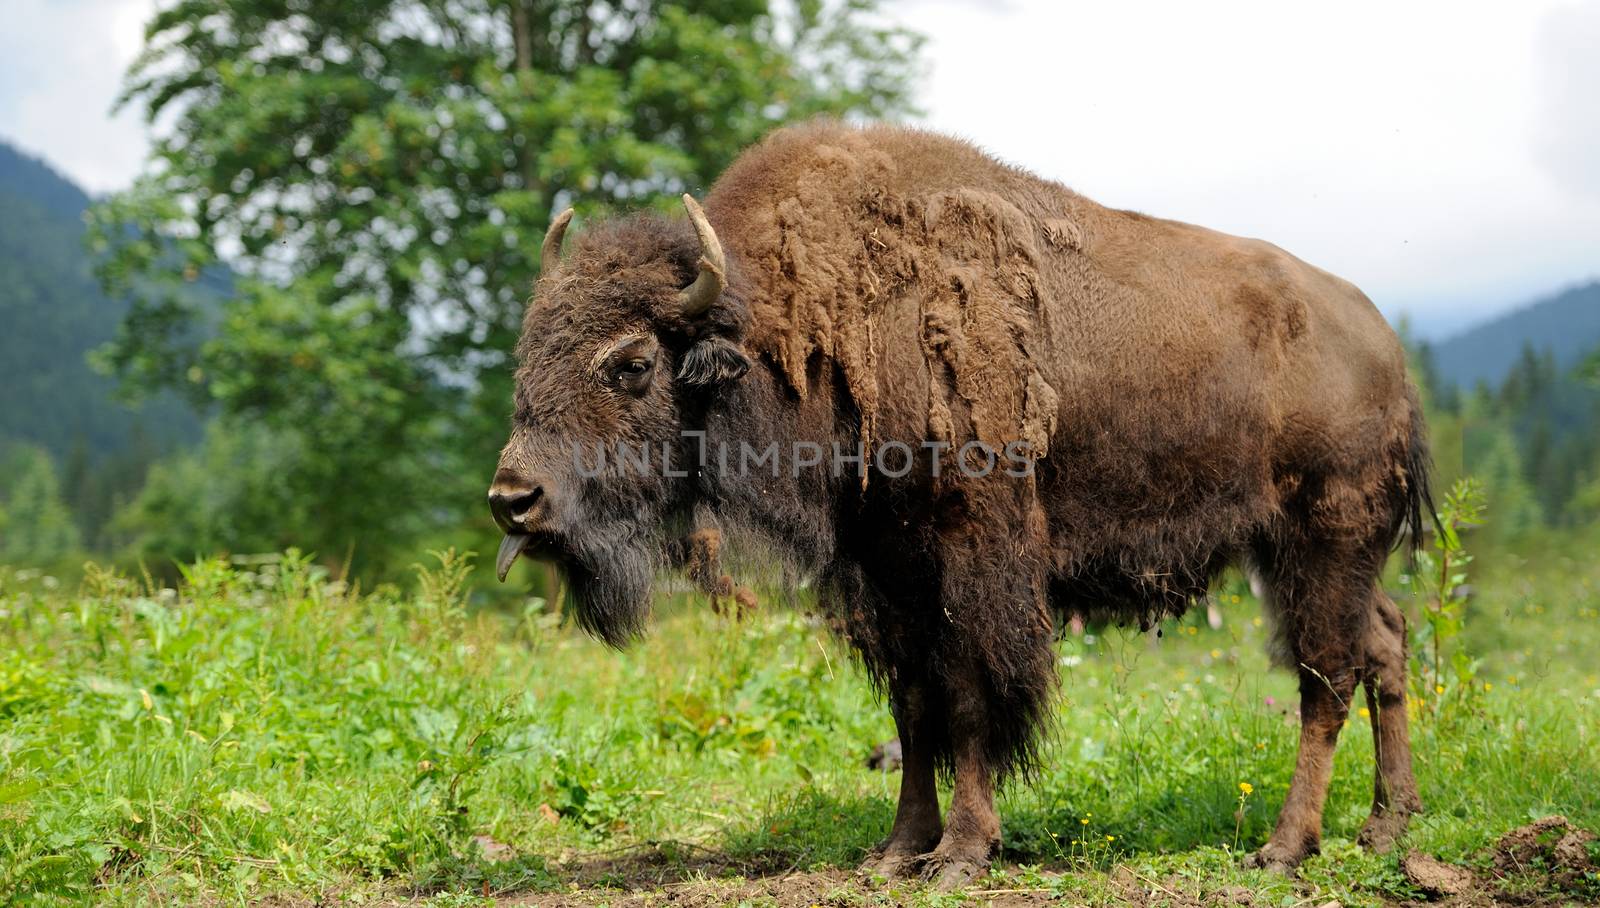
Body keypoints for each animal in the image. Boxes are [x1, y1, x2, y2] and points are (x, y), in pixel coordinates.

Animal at [483, 120, 1427, 888]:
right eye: (529, 353)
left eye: (633, 363)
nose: (512, 498)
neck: (804, 325)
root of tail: (1384, 343)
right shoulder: (887, 574)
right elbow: (913, 704)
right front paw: (898, 848)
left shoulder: (970, 558)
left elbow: (968, 694)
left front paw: (963, 852)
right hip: (1302, 553)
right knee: (1383, 642)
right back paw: (1386, 828)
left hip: (1325, 536)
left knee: (1326, 673)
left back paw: (1285, 847)